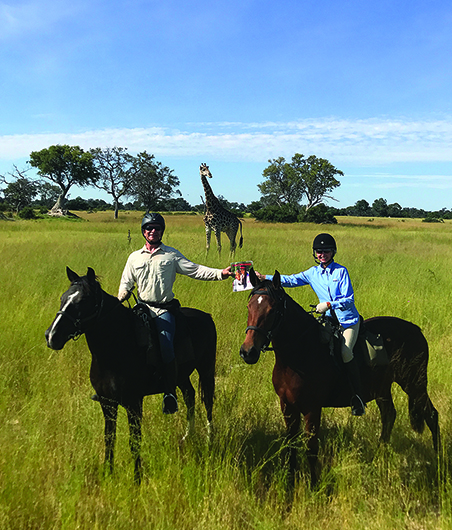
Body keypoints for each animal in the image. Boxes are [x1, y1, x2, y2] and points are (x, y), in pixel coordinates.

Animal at [45, 266, 216, 480]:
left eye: (82, 301)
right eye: (63, 298)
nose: (51, 336)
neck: (118, 346)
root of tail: (206, 316)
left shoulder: (134, 403)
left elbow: (134, 441)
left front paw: (137, 478)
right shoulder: (107, 403)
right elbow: (109, 438)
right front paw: (108, 473)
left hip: (206, 370)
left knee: (207, 402)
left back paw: (209, 440)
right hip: (181, 376)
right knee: (189, 396)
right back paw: (187, 436)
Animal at [238, 270, 440, 484]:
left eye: (272, 310)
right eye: (249, 307)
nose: (248, 352)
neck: (300, 353)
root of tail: (416, 330)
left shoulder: (312, 408)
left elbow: (311, 448)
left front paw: (314, 485)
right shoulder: (287, 405)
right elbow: (290, 444)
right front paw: (290, 482)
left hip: (414, 385)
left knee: (431, 415)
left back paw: (437, 462)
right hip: (382, 388)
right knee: (389, 416)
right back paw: (378, 457)